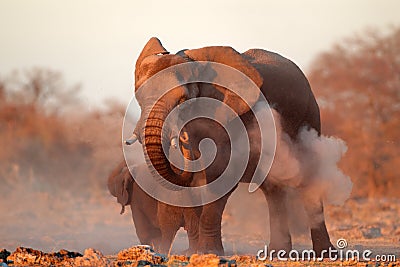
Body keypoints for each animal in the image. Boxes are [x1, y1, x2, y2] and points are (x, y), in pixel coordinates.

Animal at [125, 37, 334, 255]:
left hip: (310, 116)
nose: (182, 138)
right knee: (272, 188)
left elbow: (221, 172)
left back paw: (325, 253)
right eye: (139, 100)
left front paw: (208, 253)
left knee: (309, 179)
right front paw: (192, 253)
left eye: (183, 100)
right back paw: (277, 252)